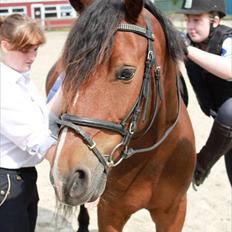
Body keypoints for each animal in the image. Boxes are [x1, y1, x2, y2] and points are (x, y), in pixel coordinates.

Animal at [47, 0, 196, 231]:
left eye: (126, 73)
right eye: (69, 71)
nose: (64, 177)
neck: (154, 156)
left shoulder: (174, 212)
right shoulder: (110, 212)